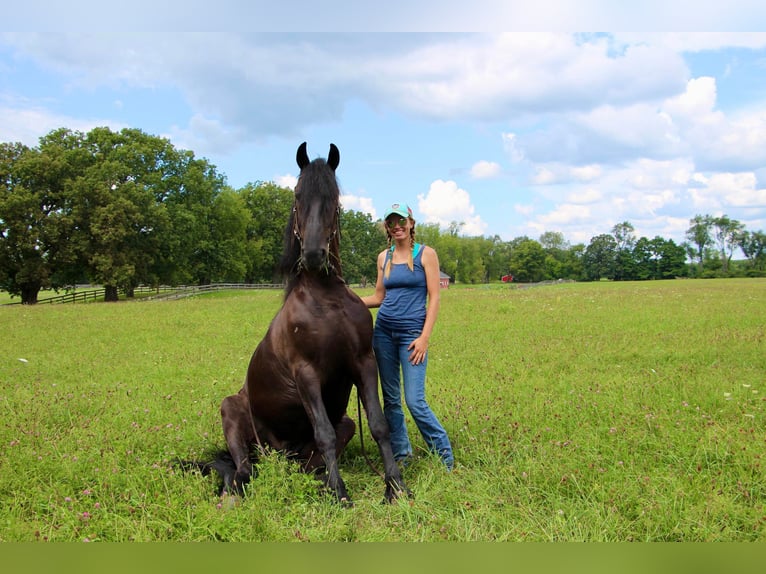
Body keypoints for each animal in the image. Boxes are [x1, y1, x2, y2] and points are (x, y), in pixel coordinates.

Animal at [200, 144, 408, 504]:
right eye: (298, 195)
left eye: (334, 198)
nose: (313, 255)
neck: (326, 298)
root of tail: (278, 451)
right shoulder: (306, 373)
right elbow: (323, 432)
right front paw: (339, 492)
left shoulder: (364, 362)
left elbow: (379, 424)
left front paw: (393, 484)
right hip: (231, 413)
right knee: (242, 470)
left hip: (338, 428)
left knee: (303, 466)